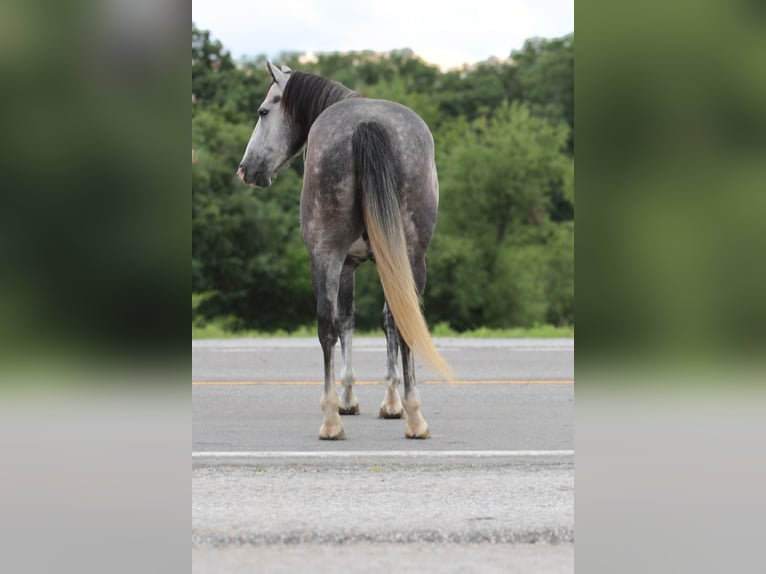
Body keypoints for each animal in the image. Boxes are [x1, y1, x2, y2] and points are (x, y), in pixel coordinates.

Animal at [240, 63, 452, 440]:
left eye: (263, 111)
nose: (245, 169)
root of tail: (367, 125)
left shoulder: (348, 264)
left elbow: (350, 321)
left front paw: (354, 398)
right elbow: (379, 320)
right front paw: (387, 402)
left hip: (329, 254)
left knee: (328, 324)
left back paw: (333, 419)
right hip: (406, 255)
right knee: (396, 320)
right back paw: (412, 417)